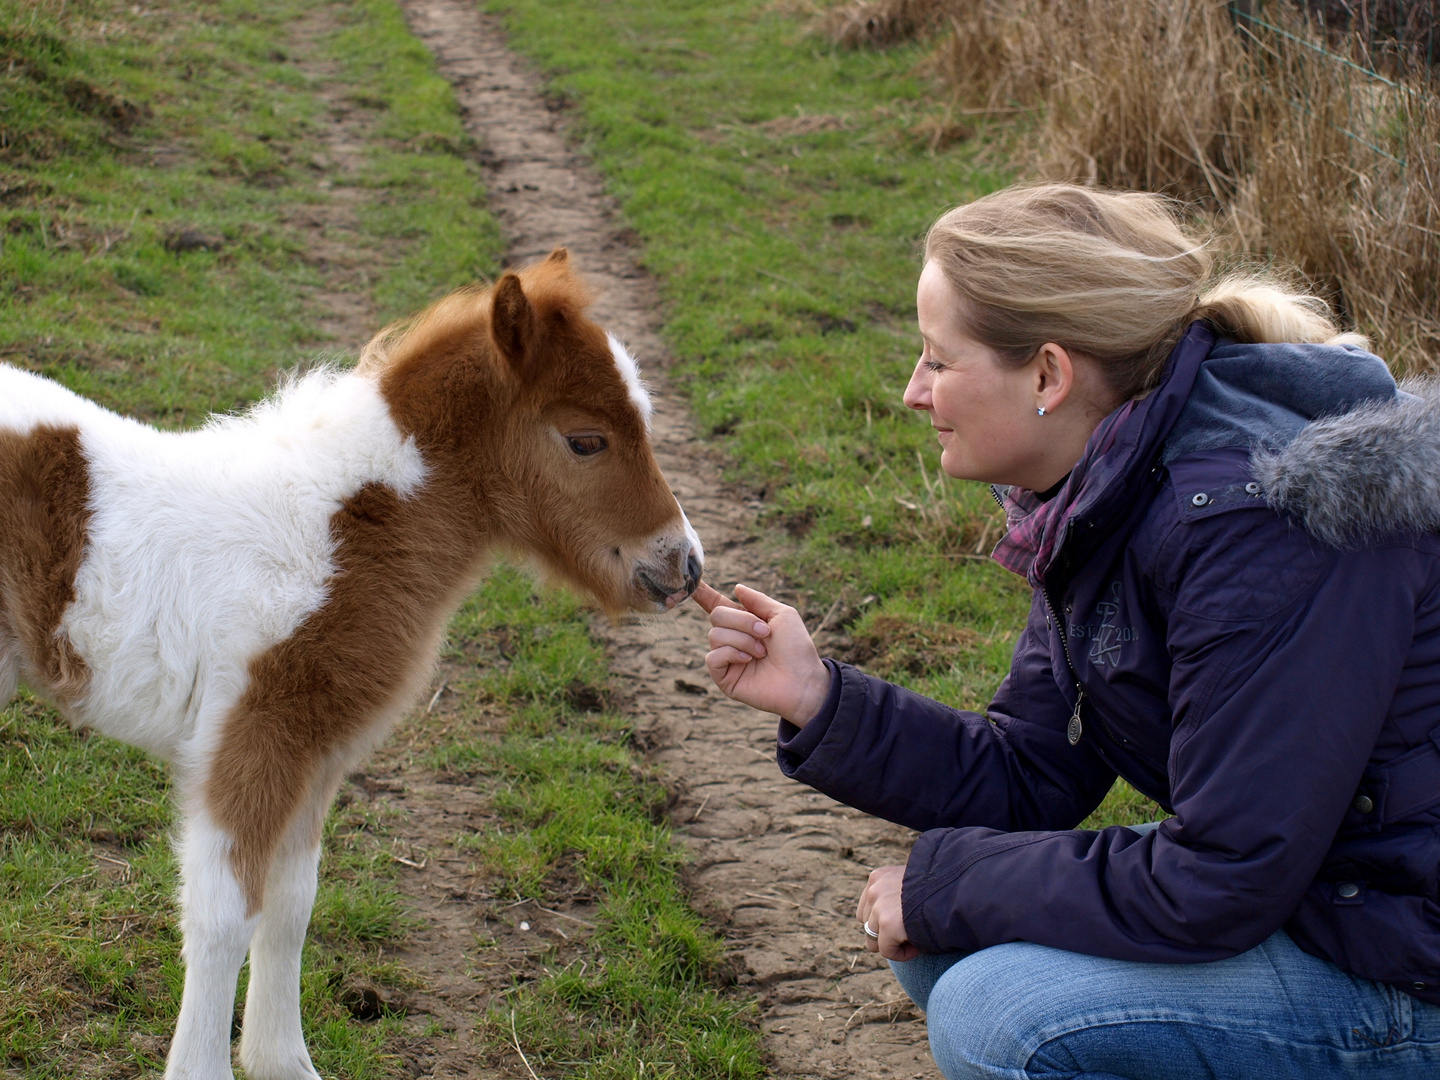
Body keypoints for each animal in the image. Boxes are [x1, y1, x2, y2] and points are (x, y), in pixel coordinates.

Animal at [0, 252, 699, 1080]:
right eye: (586, 440)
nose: (684, 565)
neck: (339, 534)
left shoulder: (316, 752)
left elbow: (291, 903)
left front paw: (282, 1061)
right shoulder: (250, 738)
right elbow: (223, 916)